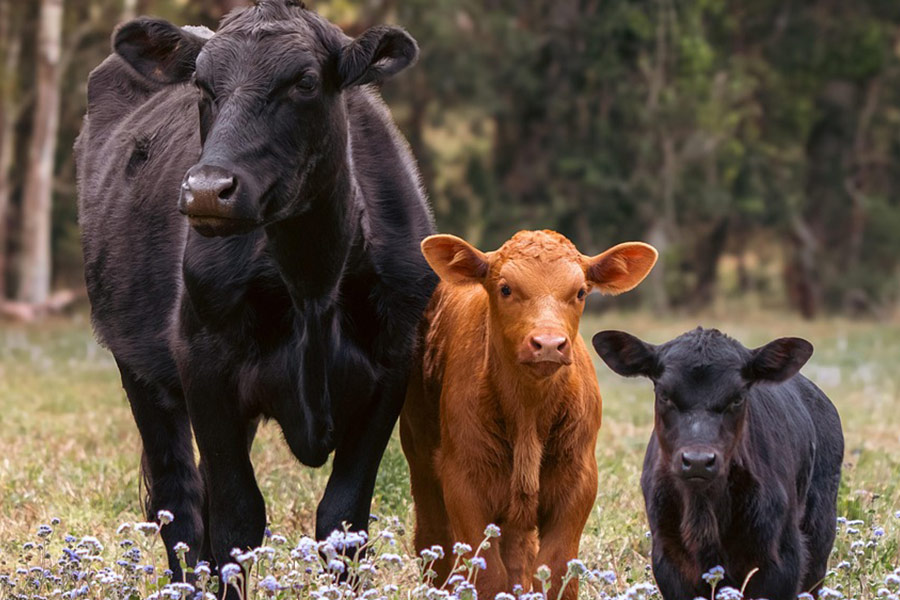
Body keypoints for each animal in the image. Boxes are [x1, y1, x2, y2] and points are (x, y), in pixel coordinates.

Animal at [75, 0, 437, 585]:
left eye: (306, 82)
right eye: (202, 85)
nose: (207, 190)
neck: (312, 282)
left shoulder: (393, 366)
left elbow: (343, 521)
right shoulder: (204, 363)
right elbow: (236, 519)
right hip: (139, 367)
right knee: (179, 500)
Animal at [400, 230, 658, 600]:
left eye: (580, 292)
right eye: (506, 288)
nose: (549, 344)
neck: (528, 414)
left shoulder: (579, 481)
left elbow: (555, 571)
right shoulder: (463, 481)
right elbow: (487, 576)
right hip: (420, 453)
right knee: (434, 538)